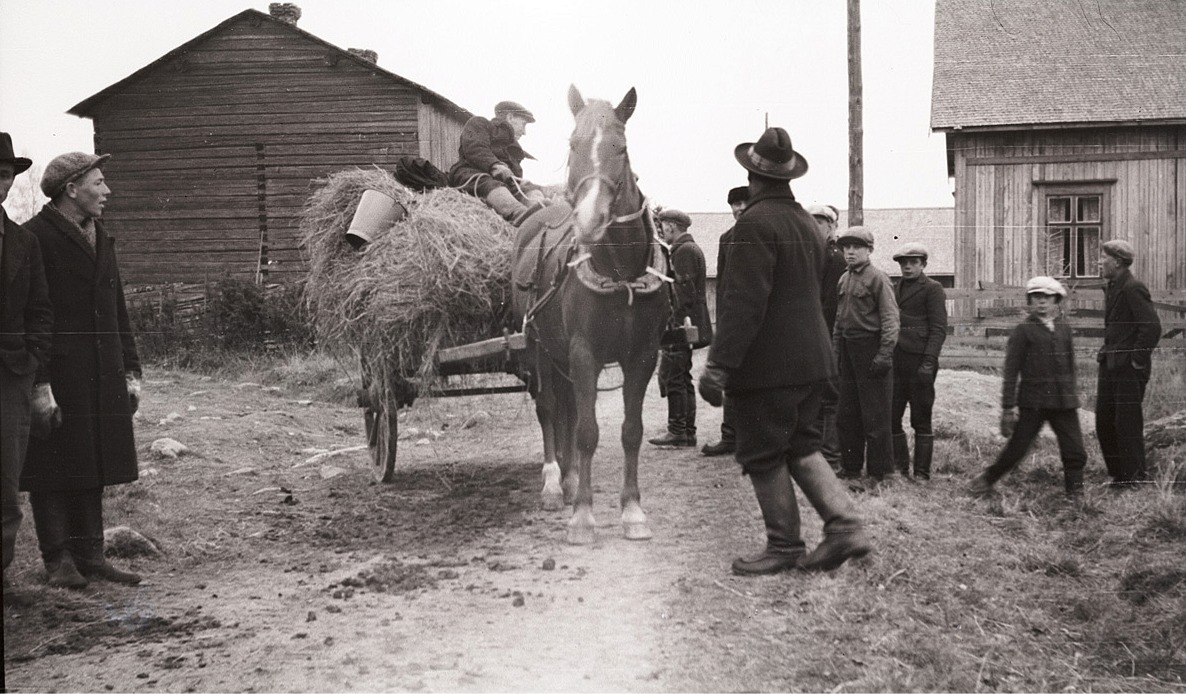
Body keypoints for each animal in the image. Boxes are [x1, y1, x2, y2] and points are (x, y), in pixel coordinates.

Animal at [514, 85, 673, 540]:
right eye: (573, 144)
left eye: (622, 147)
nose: (589, 218)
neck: (620, 272)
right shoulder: (584, 353)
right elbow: (586, 431)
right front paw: (583, 516)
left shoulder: (643, 356)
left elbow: (631, 432)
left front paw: (632, 511)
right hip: (537, 347)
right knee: (550, 408)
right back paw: (554, 482)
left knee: (567, 407)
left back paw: (568, 479)